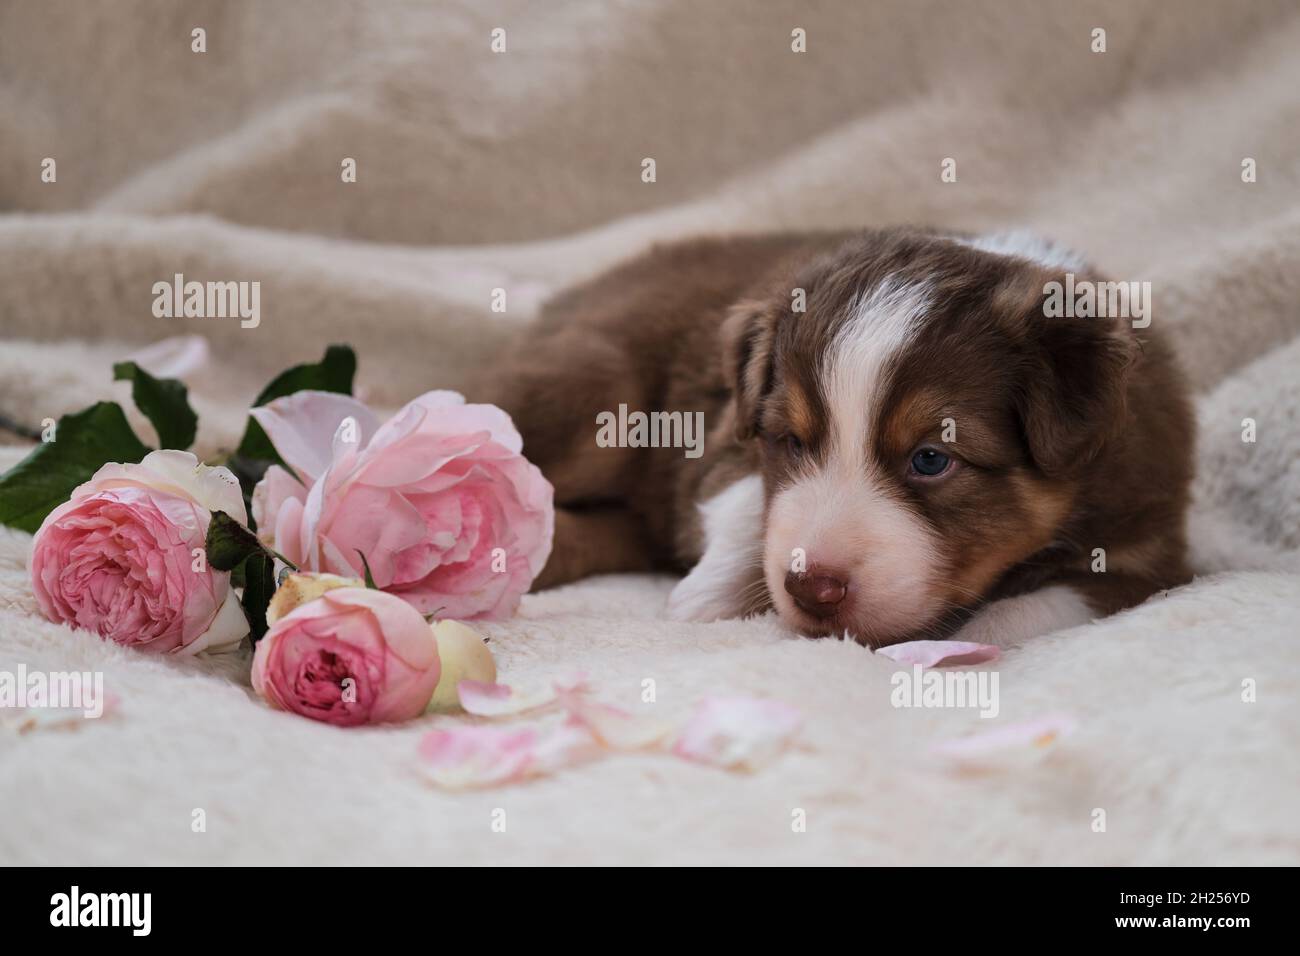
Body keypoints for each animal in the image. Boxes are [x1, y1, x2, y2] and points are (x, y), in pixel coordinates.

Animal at [473, 230, 1190, 650]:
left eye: (931, 459)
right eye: (791, 441)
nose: (812, 589)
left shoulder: (1150, 550)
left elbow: (1037, 606)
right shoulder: (722, 438)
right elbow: (744, 505)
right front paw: (705, 600)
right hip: (594, 388)